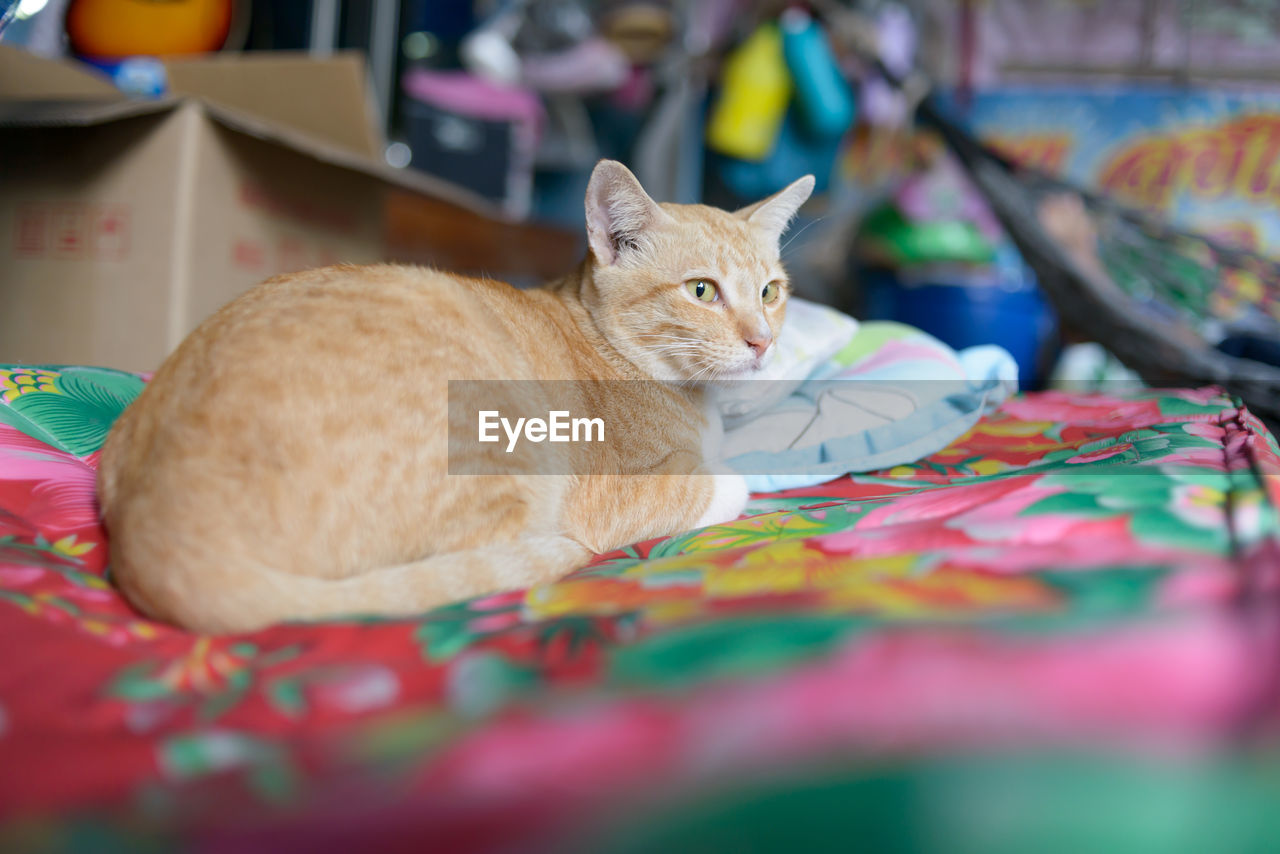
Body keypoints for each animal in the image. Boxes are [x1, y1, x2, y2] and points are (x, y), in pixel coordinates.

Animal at [102, 160, 819, 632]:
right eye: (701, 291)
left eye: (770, 292)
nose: (762, 343)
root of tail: (153, 528)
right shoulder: (612, 495)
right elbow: (723, 482)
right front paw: (740, 478)